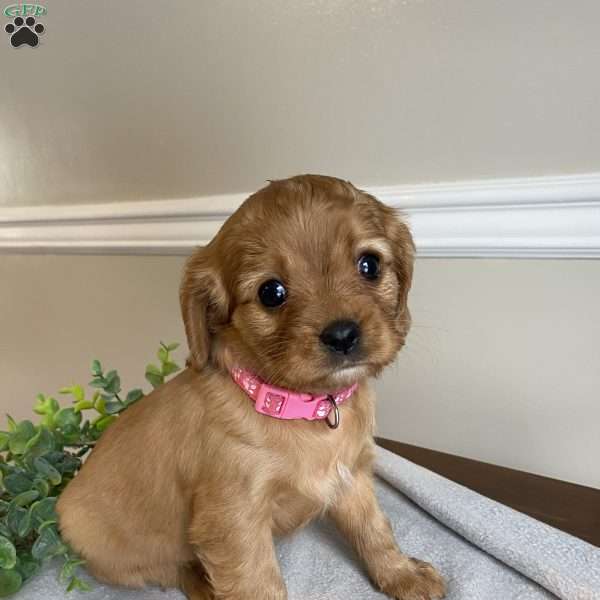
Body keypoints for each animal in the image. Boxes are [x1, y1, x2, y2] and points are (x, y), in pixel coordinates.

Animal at [57, 175, 446, 600]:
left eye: (370, 264)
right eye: (271, 292)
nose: (342, 335)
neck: (302, 406)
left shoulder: (352, 478)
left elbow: (374, 530)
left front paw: (402, 574)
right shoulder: (233, 521)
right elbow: (258, 584)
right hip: (118, 555)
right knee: (167, 569)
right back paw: (203, 585)